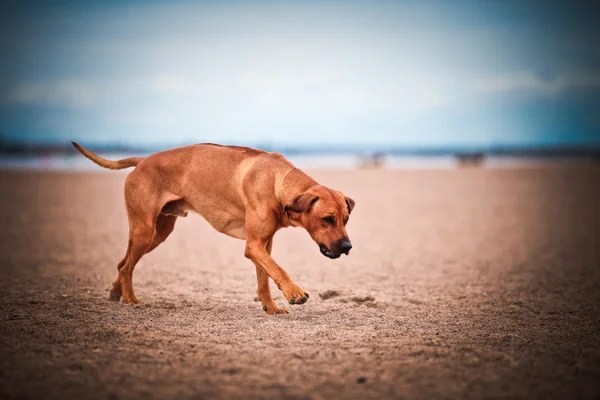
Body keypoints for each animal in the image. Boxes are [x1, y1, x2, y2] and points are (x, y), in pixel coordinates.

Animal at [72, 142, 354, 314]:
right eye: (328, 219)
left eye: (346, 218)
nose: (347, 246)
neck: (278, 181)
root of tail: (142, 160)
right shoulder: (253, 246)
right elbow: (277, 269)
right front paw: (294, 293)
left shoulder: (263, 244)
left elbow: (264, 277)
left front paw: (271, 308)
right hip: (144, 229)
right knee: (127, 266)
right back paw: (130, 299)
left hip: (157, 233)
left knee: (123, 263)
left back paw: (115, 292)